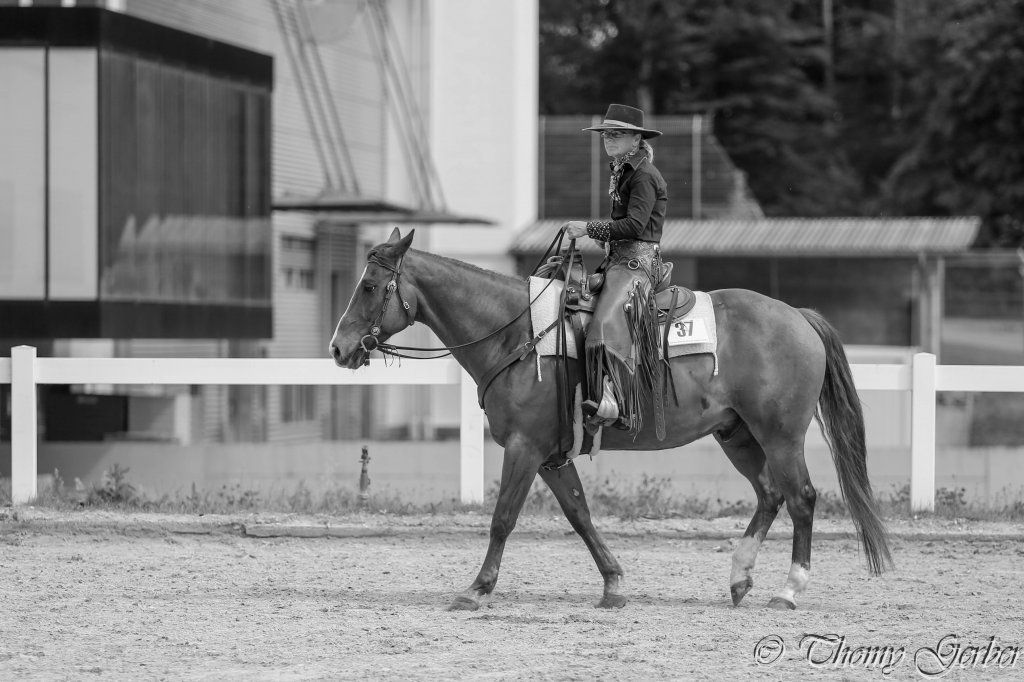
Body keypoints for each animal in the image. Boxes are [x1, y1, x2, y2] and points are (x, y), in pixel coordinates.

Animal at [329, 228, 893, 611]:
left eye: (369, 286)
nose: (338, 348)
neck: (516, 333)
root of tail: (798, 317)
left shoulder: (524, 448)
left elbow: (503, 518)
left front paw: (475, 589)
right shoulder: (551, 455)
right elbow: (579, 514)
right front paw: (614, 584)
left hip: (782, 436)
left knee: (802, 498)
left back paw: (788, 590)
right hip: (737, 435)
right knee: (771, 495)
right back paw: (739, 579)